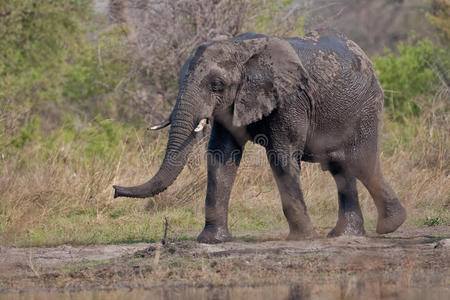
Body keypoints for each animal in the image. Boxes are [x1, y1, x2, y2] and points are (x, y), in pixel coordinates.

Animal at [112, 29, 408, 243]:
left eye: (216, 85)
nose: (114, 189)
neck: (240, 48)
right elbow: (220, 156)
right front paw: (212, 241)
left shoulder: (289, 99)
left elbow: (281, 155)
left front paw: (302, 239)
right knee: (341, 168)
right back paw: (344, 235)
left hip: (366, 108)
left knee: (360, 162)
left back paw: (390, 226)